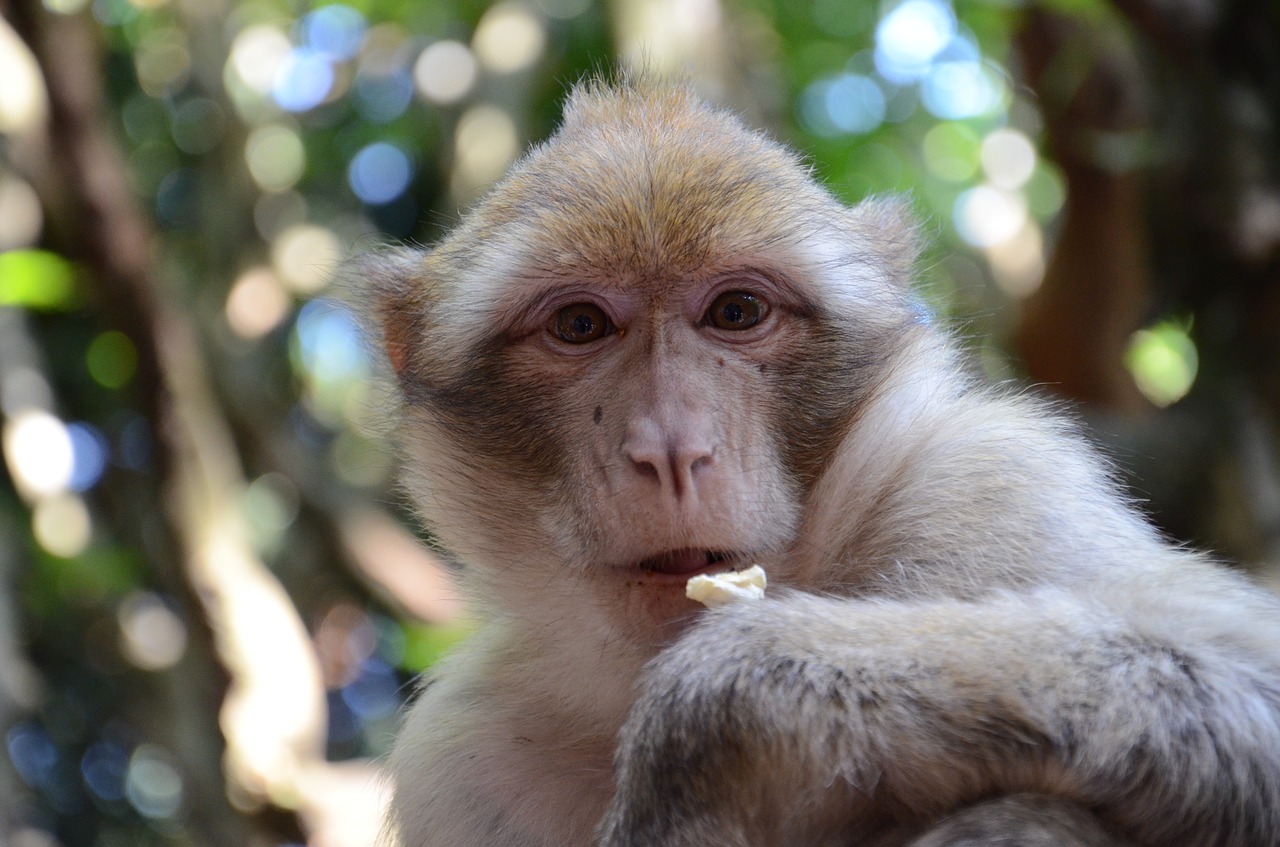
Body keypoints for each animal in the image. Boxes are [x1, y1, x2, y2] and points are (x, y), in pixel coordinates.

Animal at [355, 76, 1280, 844]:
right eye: (580, 325)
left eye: (736, 310)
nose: (672, 449)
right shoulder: (460, 758)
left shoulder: (991, 480)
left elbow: (1241, 675)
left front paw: (699, 724)